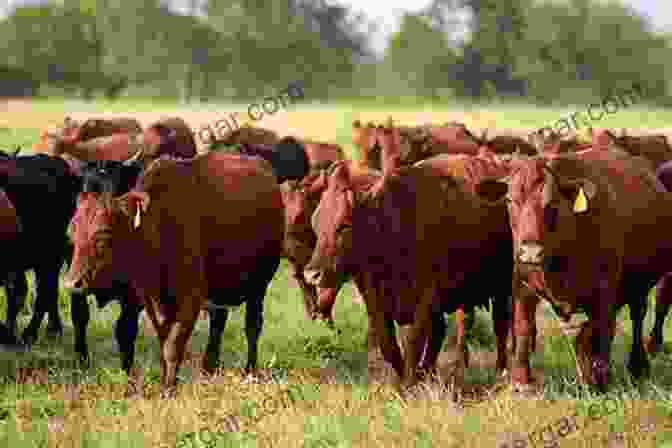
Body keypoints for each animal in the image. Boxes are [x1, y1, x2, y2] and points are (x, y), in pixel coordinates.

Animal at [61, 152, 284, 394]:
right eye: (71, 234)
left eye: (103, 235)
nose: (72, 283)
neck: (159, 228)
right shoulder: (151, 301)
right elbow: (163, 341)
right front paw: (166, 381)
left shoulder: (190, 300)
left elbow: (172, 345)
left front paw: (168, 389)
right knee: (218, 322)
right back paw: (209, 368)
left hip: (259, 286)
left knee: (253, 326)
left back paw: (250, 371)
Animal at [302, 160, 512, 392]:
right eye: (315, 222)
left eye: (344, 224)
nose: (311, 274)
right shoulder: (376, 301)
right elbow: (389, 345)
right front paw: (404, 381)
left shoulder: (425, 298)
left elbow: (413, 341)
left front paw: (410, 383)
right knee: (447, 329)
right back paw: (434, 370)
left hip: (502, 287)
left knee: (500, 326)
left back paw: (500, 372)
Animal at [476, 152, 672, 390]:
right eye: (510, 200)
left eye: (552, 203)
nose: (531, 252)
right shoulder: (522, 283)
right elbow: (523, 327)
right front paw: (521, 381)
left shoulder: (605, 292)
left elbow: (601, 333)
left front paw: (601, 381)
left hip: (639, 286)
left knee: (637, 317)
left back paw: (638, 366)